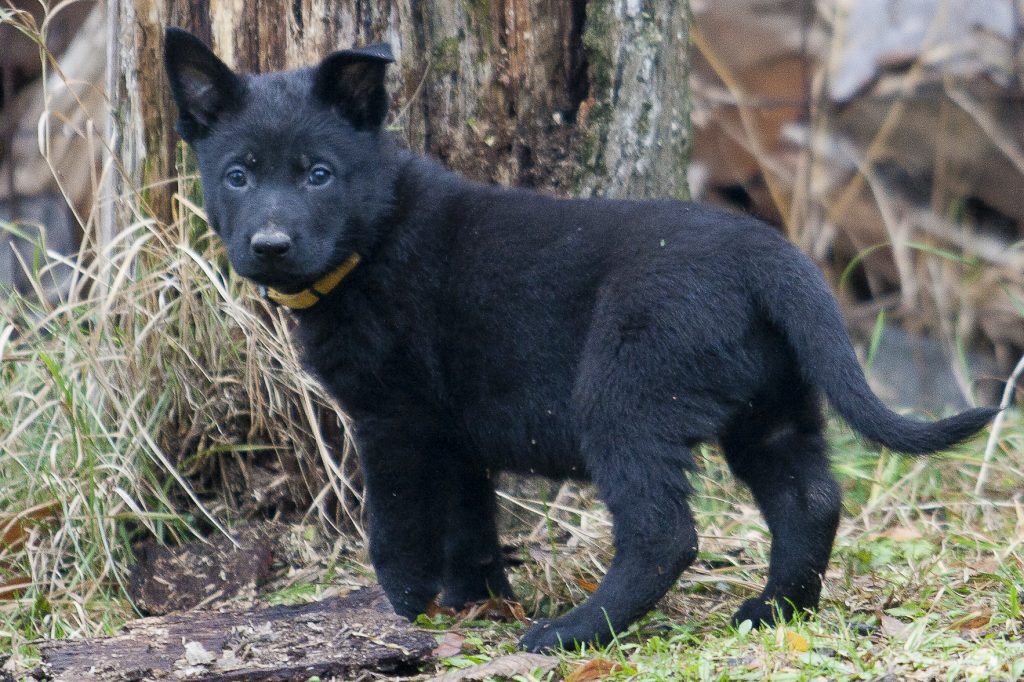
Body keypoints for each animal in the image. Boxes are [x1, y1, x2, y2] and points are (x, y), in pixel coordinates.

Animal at [163, 29, 995, 651]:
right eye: (237, 175)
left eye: (318, 174)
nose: (269, 245)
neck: (375, 238)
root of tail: (769, 255)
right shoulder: (452, 429)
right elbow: (470, 524)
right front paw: (478, 601)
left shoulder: (394, 422)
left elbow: (397, 525)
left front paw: (405, 610)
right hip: (770, 402)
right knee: (809, 499)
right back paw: (773, 610)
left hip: (627, 395)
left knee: (665, 533)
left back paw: (571, 632)